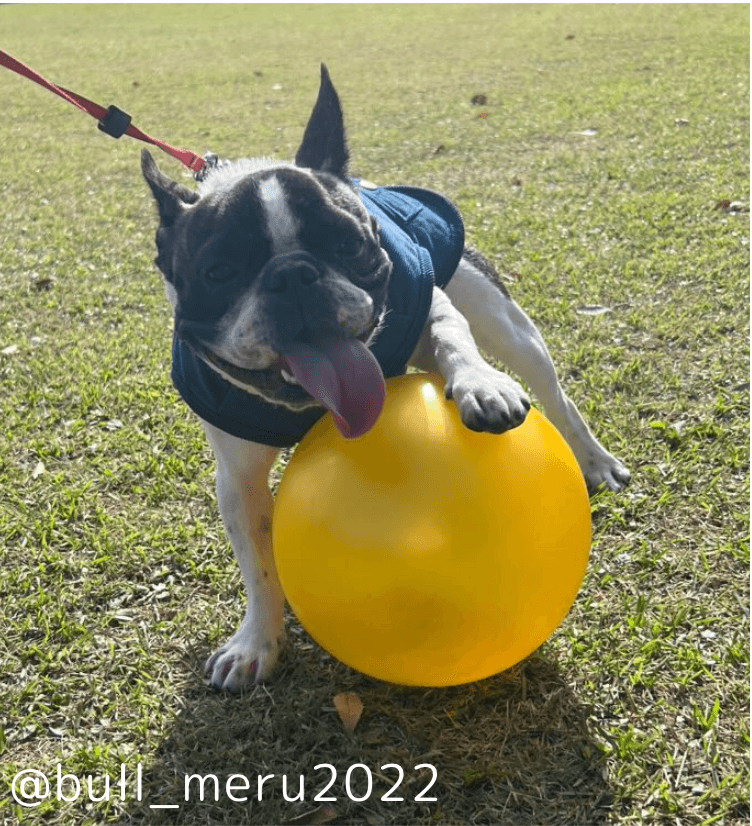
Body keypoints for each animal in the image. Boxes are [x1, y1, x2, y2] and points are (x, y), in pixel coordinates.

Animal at [141, 65, 630, 691]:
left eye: (348, 244)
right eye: (220, 272)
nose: (292, 275)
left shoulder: (432, 304)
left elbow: (451, 336)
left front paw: (479, 384)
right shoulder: (238, 478)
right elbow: (258, 563)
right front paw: (257, 643)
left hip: (503, 319)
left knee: (553, 393)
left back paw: (593, 460)